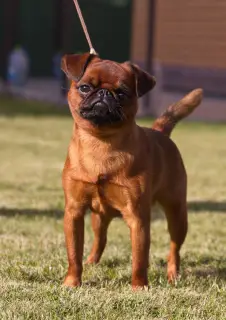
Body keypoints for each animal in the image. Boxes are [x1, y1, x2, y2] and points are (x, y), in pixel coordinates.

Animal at [60, 53, 203, 290]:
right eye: (85, 87)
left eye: (122, 92)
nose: (104, 93)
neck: (101, 144)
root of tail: (159, 131)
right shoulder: (74, 212)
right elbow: (74, 254)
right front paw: (72, 282)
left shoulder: (138, 218)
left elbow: (139, 257)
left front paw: (139, 287)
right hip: (98, 216)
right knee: (100, 239)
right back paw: (92, 262)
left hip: (177, 213)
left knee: (174, 248)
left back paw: (173, 274)